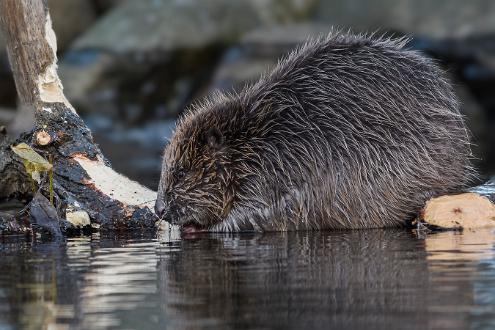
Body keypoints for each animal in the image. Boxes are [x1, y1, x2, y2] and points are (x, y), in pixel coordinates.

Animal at [154, 31, 476, 232]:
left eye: (181, 172)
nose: (159, 209)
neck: (263, 138)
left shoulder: (278, 174)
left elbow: (263, 213)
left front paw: (203, 229)